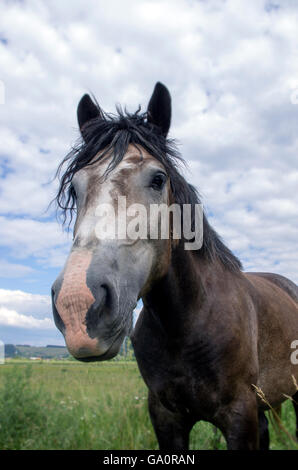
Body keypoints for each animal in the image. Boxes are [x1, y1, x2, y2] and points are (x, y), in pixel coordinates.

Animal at [51, 82, 298, 450]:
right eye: (74, 188)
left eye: (158, 179)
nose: (77, 303)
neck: (188, 323)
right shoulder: (165, 416)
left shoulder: (240, 416)